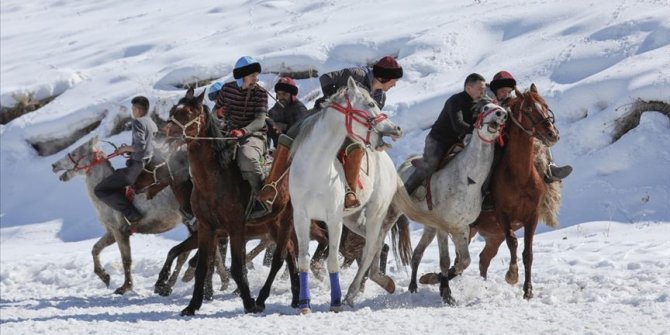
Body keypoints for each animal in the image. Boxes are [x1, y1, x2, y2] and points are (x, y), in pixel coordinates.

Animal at [50, 136, 188, 294]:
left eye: (74, 153)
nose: (54, 165)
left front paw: (125, 287)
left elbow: (126, 260)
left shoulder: (120, 232)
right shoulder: (111, 233)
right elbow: (95, 249)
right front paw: (105, 277)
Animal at [288, 77, 440, 314]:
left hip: (374, 213)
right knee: (376, 244)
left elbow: (333, 260)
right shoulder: (301, 217)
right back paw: (379, 281)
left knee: (370, 248)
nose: (396, 128)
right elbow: (303, 259)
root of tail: (392, 167)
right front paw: (304, 305)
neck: (316, 168)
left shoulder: (333, 219)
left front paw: (335, 302)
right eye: (370, 104)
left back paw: (351, 293)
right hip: (353, 219)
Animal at [388, 103, 510, 306]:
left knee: (416, 254)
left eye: (504, 111)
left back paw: (413, 286)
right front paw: (446, 293)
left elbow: (464, 261)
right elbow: (445, 260)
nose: (501, 114)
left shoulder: (461, 228)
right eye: (485, 107)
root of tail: (403, 164)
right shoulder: (443, 227)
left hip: (429, 228)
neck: (467, 179)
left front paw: (435, 281)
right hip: (397, 215)